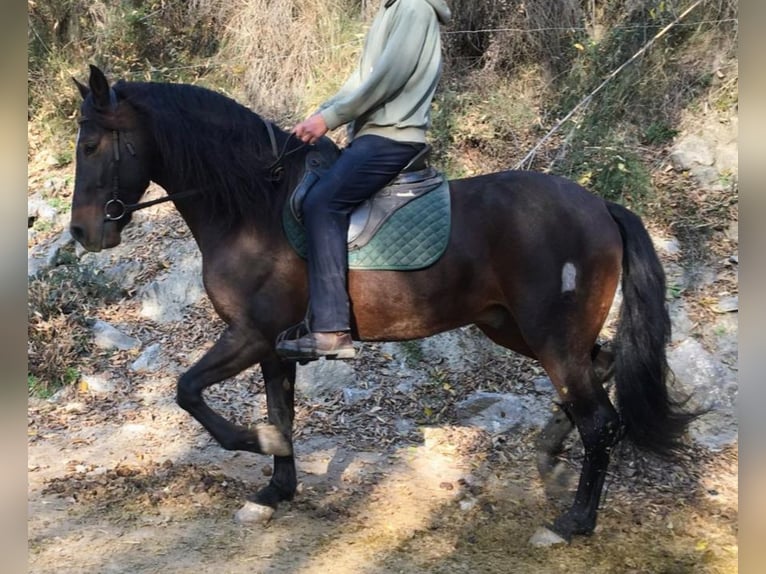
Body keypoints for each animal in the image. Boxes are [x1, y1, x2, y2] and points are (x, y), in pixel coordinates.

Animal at [69, 64, 696, 543]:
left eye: (92, 145)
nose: (81, 233)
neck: (252, 208)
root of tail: (600, 205)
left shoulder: (250, 334)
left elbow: (189, 391)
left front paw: (262, 448)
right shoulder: (273, 346)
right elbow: (278, 409)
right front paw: (275, 490)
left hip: (549, 338)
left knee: (602, 422)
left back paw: (573, 521)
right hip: (513, 327)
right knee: (602, 366)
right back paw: (549, 447)